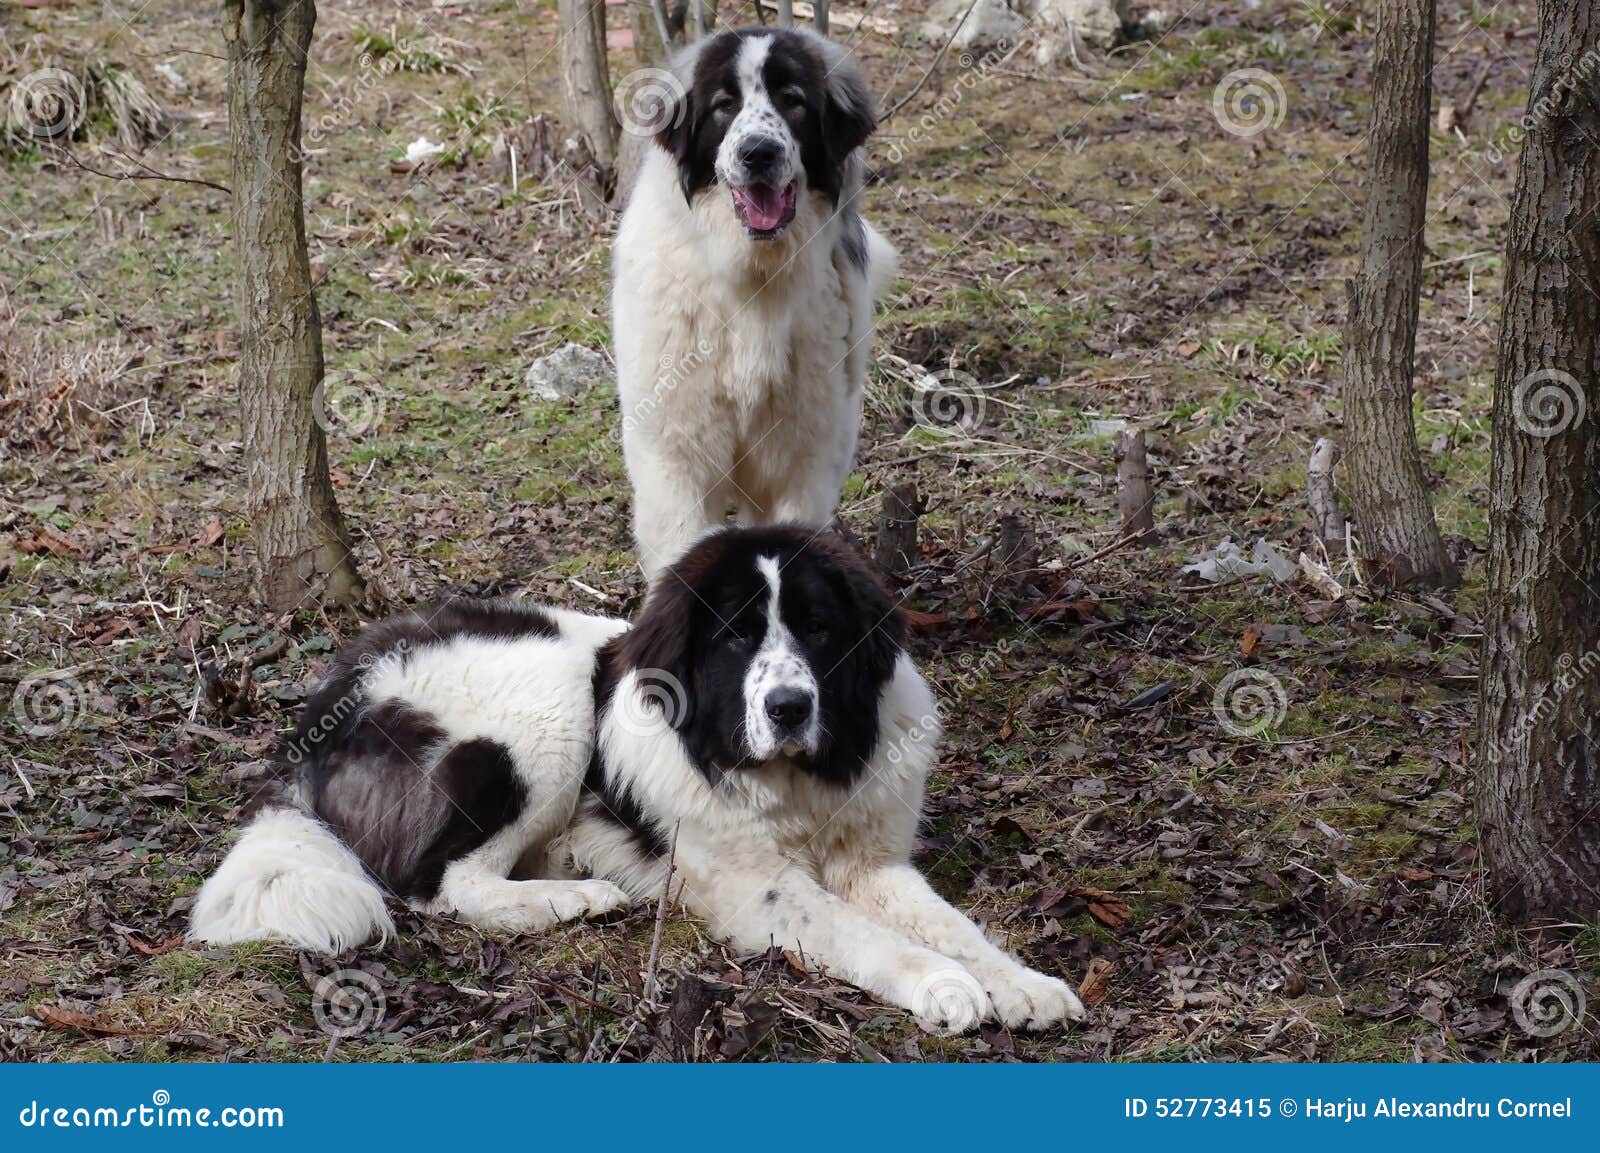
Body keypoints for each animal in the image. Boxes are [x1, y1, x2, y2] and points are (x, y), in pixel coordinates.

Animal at [190, 527, 1088, 1029]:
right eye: (735, 637)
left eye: (819, 628)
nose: (790, 705)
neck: (786, 781)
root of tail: (328, 702)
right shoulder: (755, 885)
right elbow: (864, 934)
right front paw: (943, 984)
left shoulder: (873, 863)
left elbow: (952, 924)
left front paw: (1023, 983)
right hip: (550, 706)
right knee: (441, 882)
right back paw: (572, 896)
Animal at [614, 29, 902, 575]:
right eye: (724, 106)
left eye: (792, 100)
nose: (758, 153)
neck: (753, 276)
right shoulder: (676, 455)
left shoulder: (801, 459)